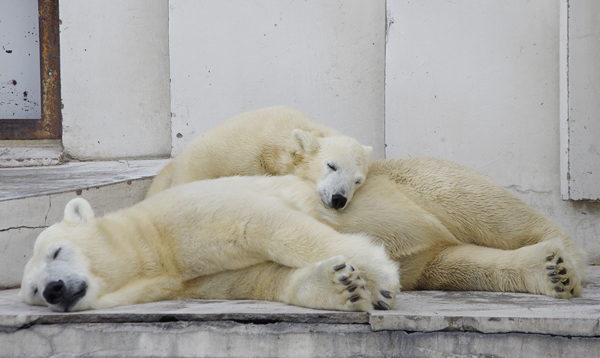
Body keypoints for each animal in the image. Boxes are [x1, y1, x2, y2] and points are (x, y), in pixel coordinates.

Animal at [21, 176, 400, 314]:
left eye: (56, 251)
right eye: (34, 291)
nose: (54, 288)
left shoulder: (183, 217)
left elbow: (266, 224)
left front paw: (380, 280)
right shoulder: (189, 285)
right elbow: (256, 279)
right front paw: (344, 286)